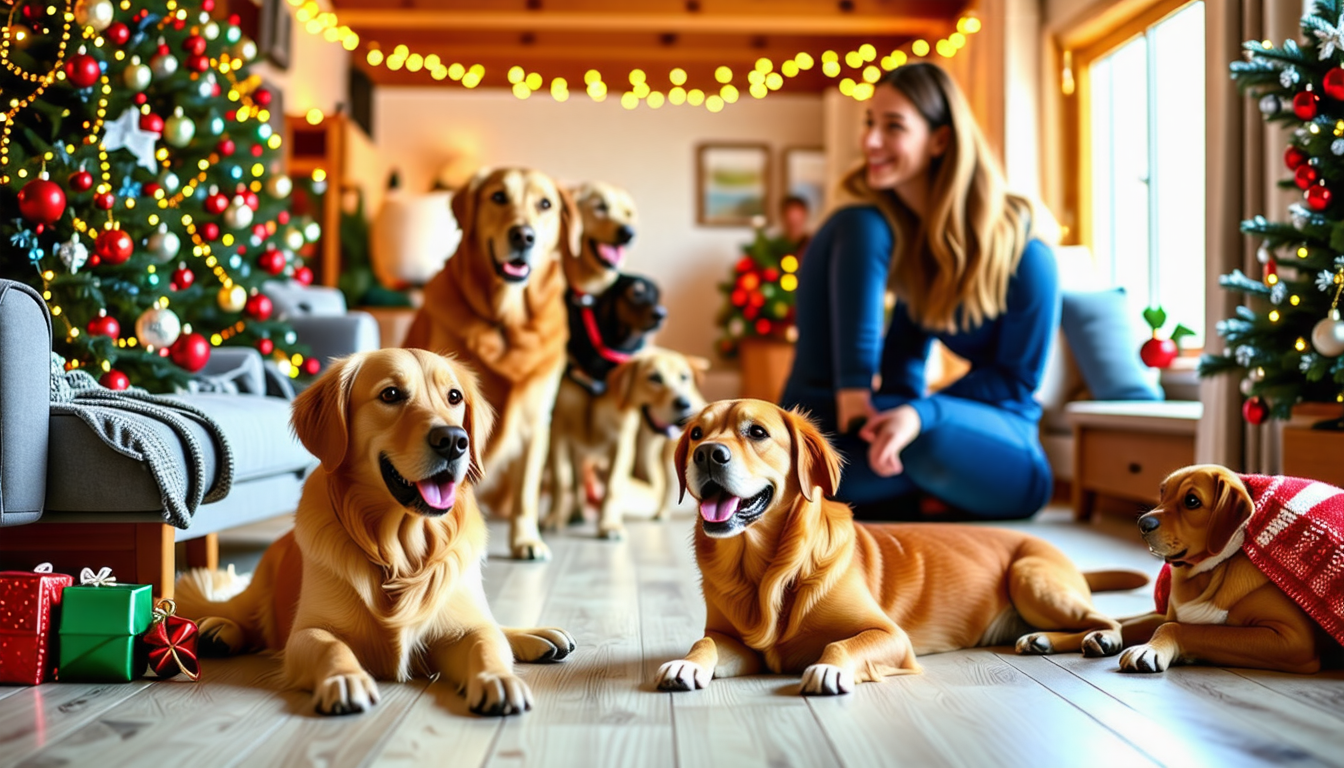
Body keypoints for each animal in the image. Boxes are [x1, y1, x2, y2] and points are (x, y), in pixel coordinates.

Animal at [176, 352, 575, 720]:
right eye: (391, 394)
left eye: (454, 397)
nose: (453, 440)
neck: (400, 550)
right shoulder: (308, 631)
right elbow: (331, 647)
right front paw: (344, 679)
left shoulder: (464, 626)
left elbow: (487, 643)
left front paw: (498, 680)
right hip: (262, 587)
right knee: (241, 614)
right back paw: (218, 630)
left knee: (496, 627)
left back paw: (537, 636)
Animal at [405, 168, 580, 562]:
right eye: (498, 197)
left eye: (545, 204)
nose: (523, 235)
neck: (506, 322)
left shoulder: (536, 423)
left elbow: (526, 494)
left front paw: (526, 540)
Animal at [548, 349, 715, 540]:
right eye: (654, 378)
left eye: (684, 377)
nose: (685, 404)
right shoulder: (559, 434)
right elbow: (561, 480)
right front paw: (555, 517)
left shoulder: (621, 441)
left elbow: (612, 487)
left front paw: (609, 524)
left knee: (667, 484)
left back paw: (664, 512)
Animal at [655, 403, 1150, 699]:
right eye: (696, 433)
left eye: (756, 432)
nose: (707, 454)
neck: (768, 569)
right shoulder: (733, 640)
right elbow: (704, 642)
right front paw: (686, 664)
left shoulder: (891, 636)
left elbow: (840, 644)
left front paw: (828, 669)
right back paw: (1041, 640)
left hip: (1030, 576)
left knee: (1107, 621)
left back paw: (1097, 639)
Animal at [1112, 462, 1333, 672]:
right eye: (1163, 492)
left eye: (1192, 501)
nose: (1142, 524)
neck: (1208, 572)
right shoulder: (1168, 613)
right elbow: (1132, 621)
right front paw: (1108, 632)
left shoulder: (1292, 638)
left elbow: (1179, 627)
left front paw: (1149, 649)